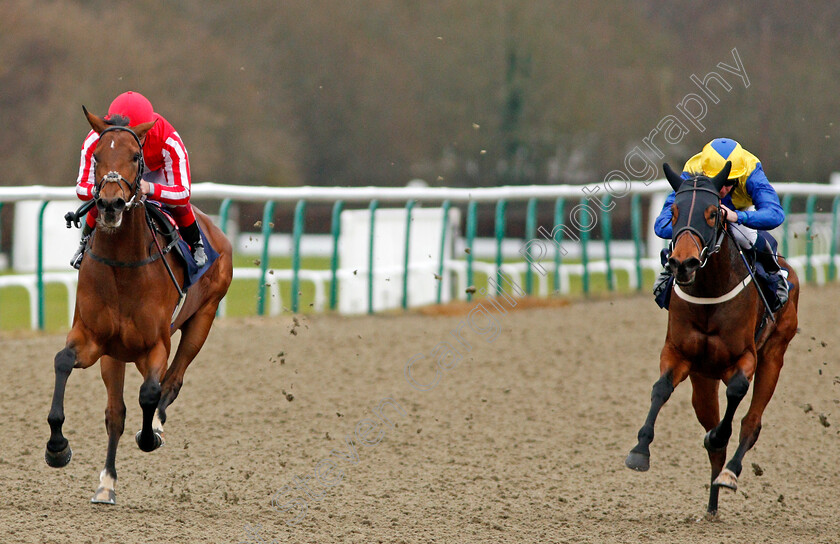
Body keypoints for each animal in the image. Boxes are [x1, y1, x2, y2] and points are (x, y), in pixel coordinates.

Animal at [44, 106, 231, 506]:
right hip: (115, 355)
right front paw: (57, 447)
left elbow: (151, 391)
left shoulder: (155, 345)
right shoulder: (92, 339)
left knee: (173, 381)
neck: (123, 267)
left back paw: (156, 425)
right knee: (116, 412)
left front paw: (149, 436)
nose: (110, 204)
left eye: (134, 156)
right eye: (96, 157)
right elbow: (63, 362)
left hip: (203, 318)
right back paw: (106, 483)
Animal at [624, 162, 800, 520]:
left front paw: (718, 436)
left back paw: (729, 472)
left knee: (751, 423)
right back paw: (712, 505)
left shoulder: (745, 357)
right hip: (703, 381)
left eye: (712, 213)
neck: (710, 292)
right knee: (714, 433)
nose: (683, 263)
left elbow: (736, 393)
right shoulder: (678, 353)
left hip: (775, 354)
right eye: (673, 212)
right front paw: (640, 450)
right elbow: (660, 389)